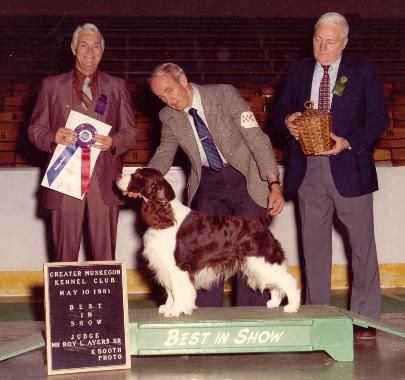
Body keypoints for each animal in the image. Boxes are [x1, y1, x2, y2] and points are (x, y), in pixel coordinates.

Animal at [115, 168, 298, 316]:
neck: (167, 215)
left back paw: (292, 306)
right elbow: (170, 290)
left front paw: (176, 310)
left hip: (262, 259)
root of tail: (260, 220)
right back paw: (274, 303)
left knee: (287, 281)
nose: (117, 177)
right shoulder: (164, 264)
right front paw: (168, 307)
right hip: (256, 263)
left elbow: (178, 289)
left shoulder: (179, 265)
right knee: (275, 283)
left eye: (138, 175)